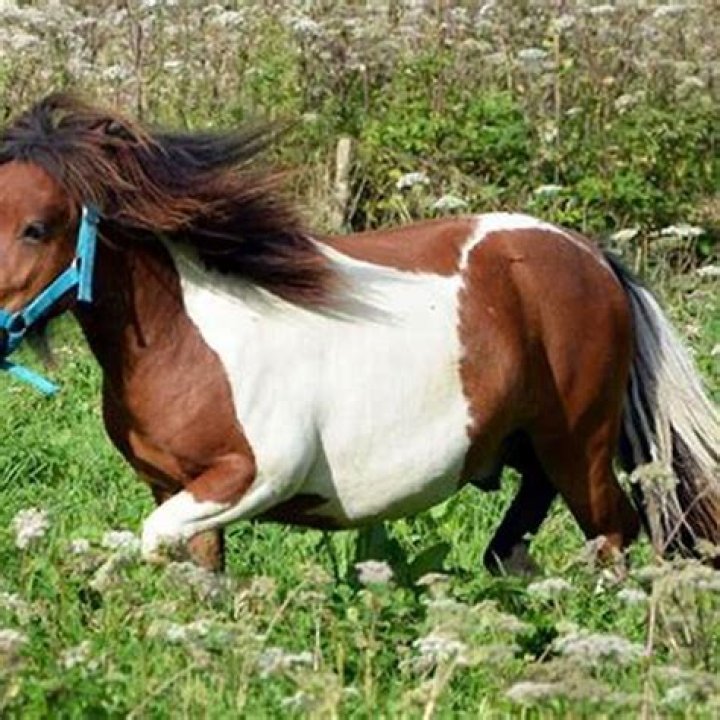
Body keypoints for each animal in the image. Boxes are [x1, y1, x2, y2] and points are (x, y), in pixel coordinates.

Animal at [0, 94, 717, 573]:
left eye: (36, 227)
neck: (188, 336)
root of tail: (591, 255)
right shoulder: (175, 486)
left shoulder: (252, 476)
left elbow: (153, 541)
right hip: (525, 445)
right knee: (520, 540)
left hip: (578, 444)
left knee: (617, 531)